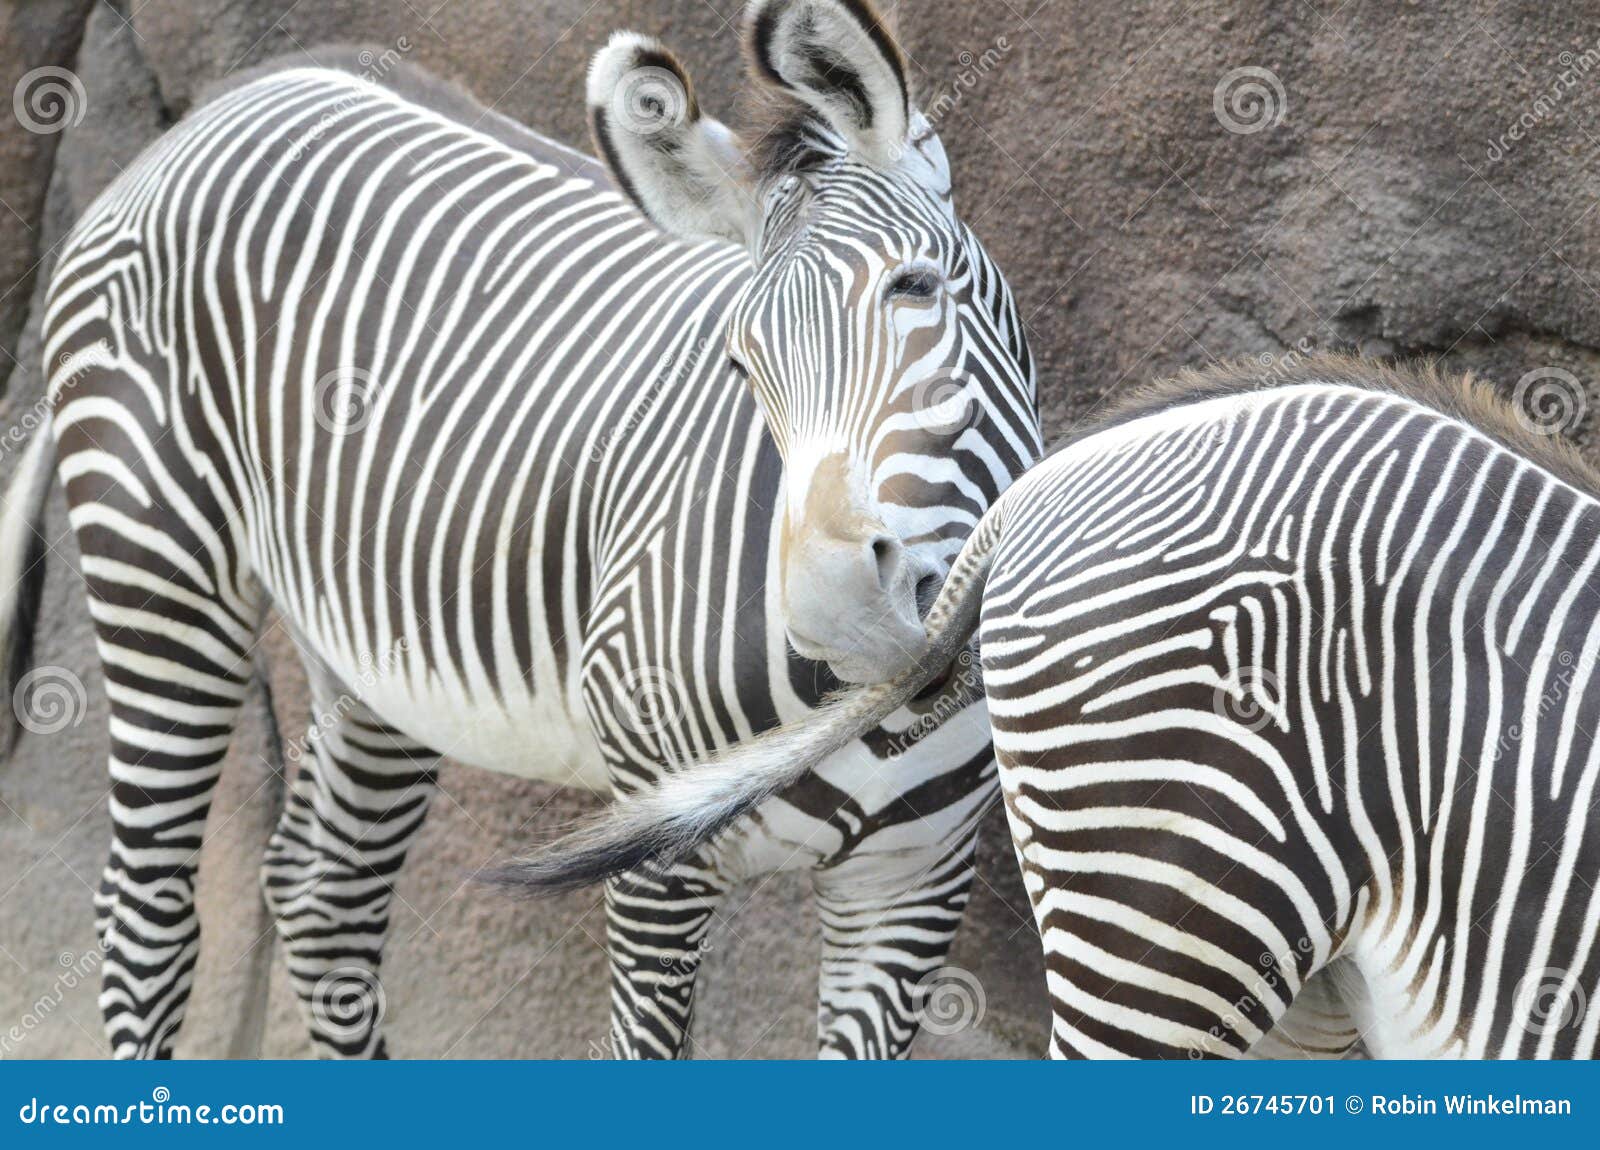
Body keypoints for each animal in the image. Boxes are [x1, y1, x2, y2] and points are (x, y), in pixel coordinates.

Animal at [0, 0, 1040, 1058]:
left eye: (915, 289)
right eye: (742, 363)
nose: (841, 618)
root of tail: (222, 106)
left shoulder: (914, 883)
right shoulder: (655, 868)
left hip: (378, 646)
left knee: (322, 895)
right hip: (157, 557)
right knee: (146, 910)